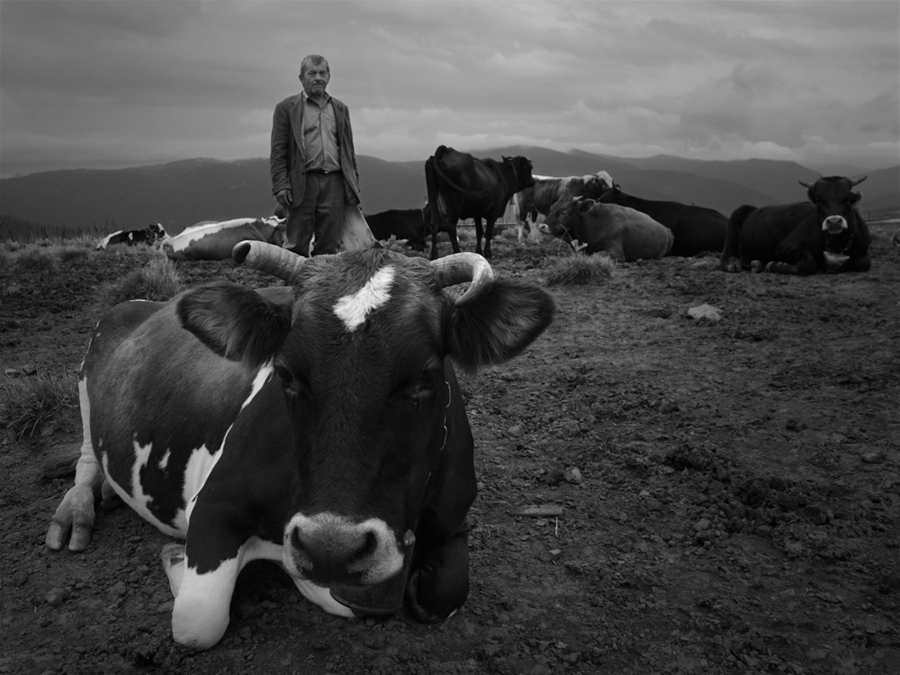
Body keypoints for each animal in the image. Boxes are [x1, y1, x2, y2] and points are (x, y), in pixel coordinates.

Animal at [49, 243, 560, 648]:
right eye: (286, 373)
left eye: (427, 377)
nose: (332, 548)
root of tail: (138, 304)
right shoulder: (215, 502)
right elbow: (200, 621)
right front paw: (188, 556)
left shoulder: (455, 515)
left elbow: (441, 594)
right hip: (86, 383)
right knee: (87, 459)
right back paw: (78, 509)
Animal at [536, 195, 672, 262]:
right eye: (551, 209)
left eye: (563, 212)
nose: (541, 226)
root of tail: (666, 229)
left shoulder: (616, 252)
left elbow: (596, 255)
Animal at [716, 178, 872, 278]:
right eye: (819, 200)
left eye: (848, 199)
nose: (834, 222)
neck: (838, 243)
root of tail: (753, 209)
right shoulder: (786, 246)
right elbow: (808, 264)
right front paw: (773, 264)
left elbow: (864, 263)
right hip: (734, 222)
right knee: (726, 257)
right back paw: (733, 264)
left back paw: (757, 263)